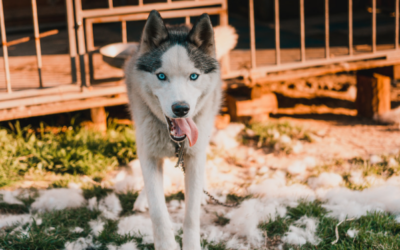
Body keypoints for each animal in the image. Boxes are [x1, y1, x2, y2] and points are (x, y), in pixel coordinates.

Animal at [126, 10, 236, 250]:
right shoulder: (148, 154)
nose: (181, 109)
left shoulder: (194, 156)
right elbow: (158, 213)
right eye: (161, 76)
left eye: (193, 76)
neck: (174, 141)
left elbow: (191, 215)